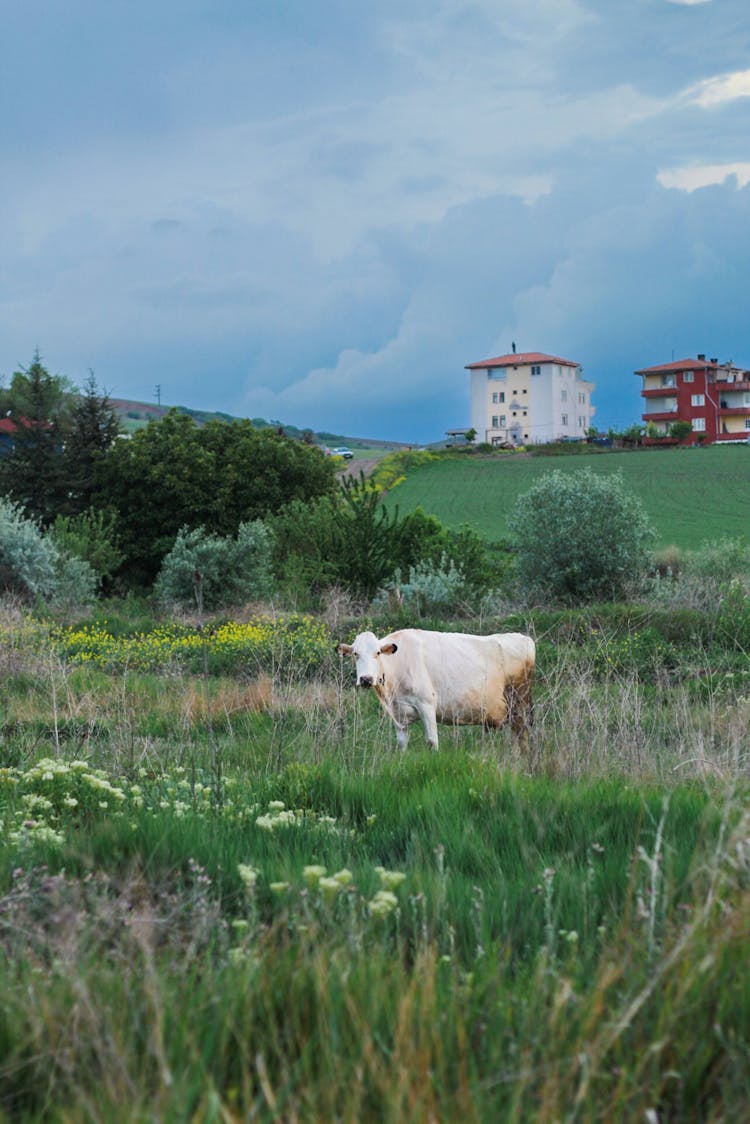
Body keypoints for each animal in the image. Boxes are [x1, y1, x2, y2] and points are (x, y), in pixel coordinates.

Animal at [337, 629, 537, 750]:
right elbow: (402, 743)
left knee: (523, 735)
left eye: (377, 653)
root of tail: (524, 638)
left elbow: (432, 741)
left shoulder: (426, 704)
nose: (366, 679)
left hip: (520, 702)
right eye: (355, 654)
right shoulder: (397, 713)